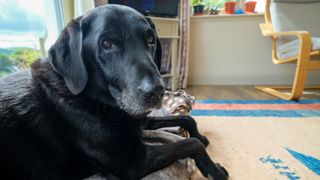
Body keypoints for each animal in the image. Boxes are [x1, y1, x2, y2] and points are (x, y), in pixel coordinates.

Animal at [0, 4, 228, 180]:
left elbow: (188, 121)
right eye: (107, 44)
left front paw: (201, 136)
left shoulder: (137, 121)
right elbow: (190, 143)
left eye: (151, 40)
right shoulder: (132, 162)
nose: (157, 92)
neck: (94, 100)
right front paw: (215, 170)